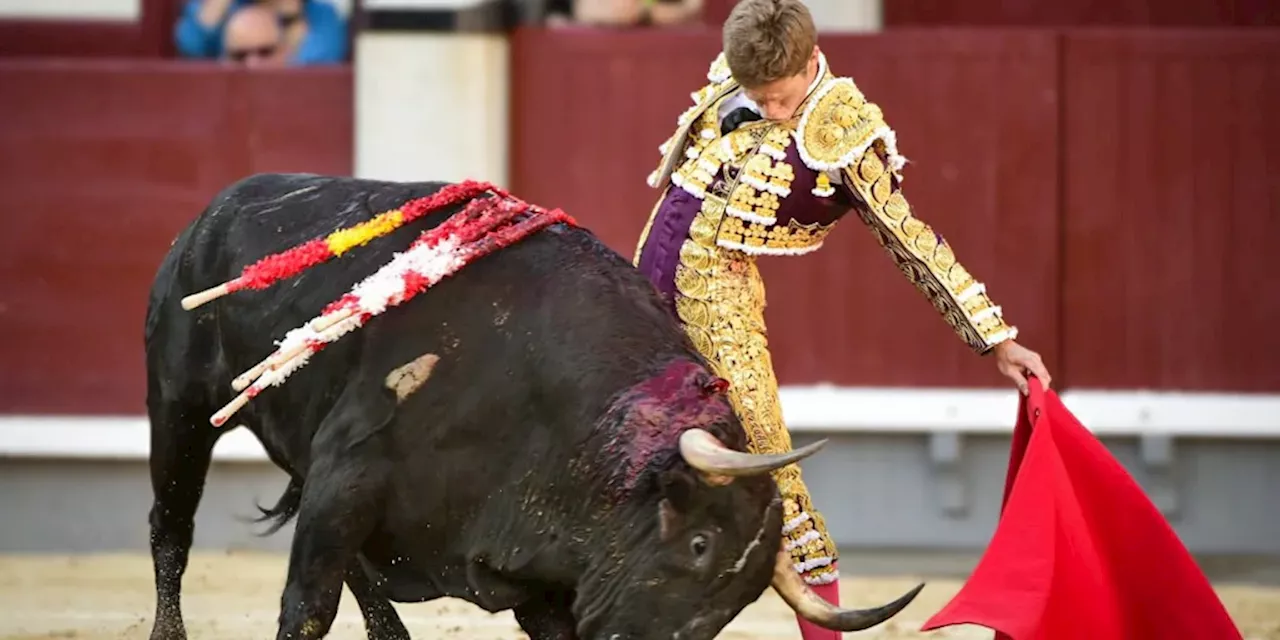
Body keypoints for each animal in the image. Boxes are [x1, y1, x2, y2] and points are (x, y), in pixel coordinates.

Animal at [145, 174, 926, 640]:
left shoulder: (549, 574)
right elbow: (308, 608)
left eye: (739, 601)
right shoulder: (349, 471)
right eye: (701, 543)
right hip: (179, 410)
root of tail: (214, 211)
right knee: (170, 531)